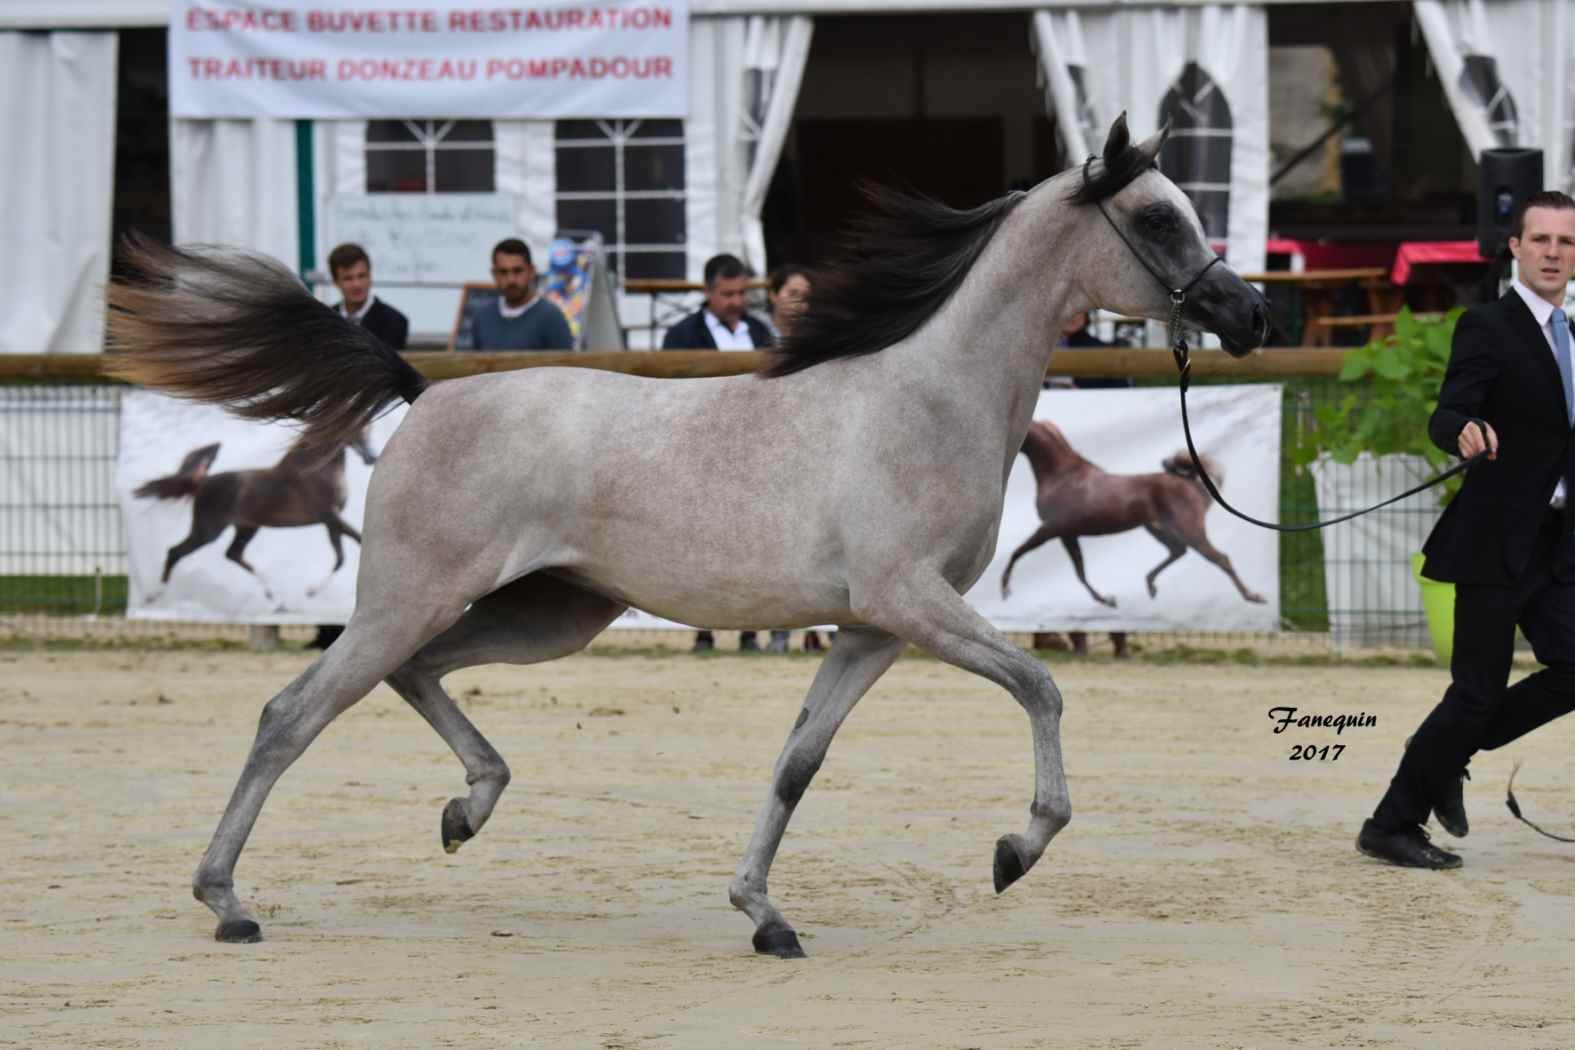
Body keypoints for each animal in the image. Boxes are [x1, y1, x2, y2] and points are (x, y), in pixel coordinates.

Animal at [107, 117, 1266, 963]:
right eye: (1158, 217)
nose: (1248, 314)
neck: (926, 399)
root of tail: (424, 392)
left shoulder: (871, 630)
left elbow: (798, 762)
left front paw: (765, 915)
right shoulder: (911, 602)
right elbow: (1041, 686)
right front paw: (1014, 851)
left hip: (546, 614)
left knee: (415, 677)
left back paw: (466, 810)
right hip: (413, 598)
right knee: (291, 716)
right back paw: (228, 900)